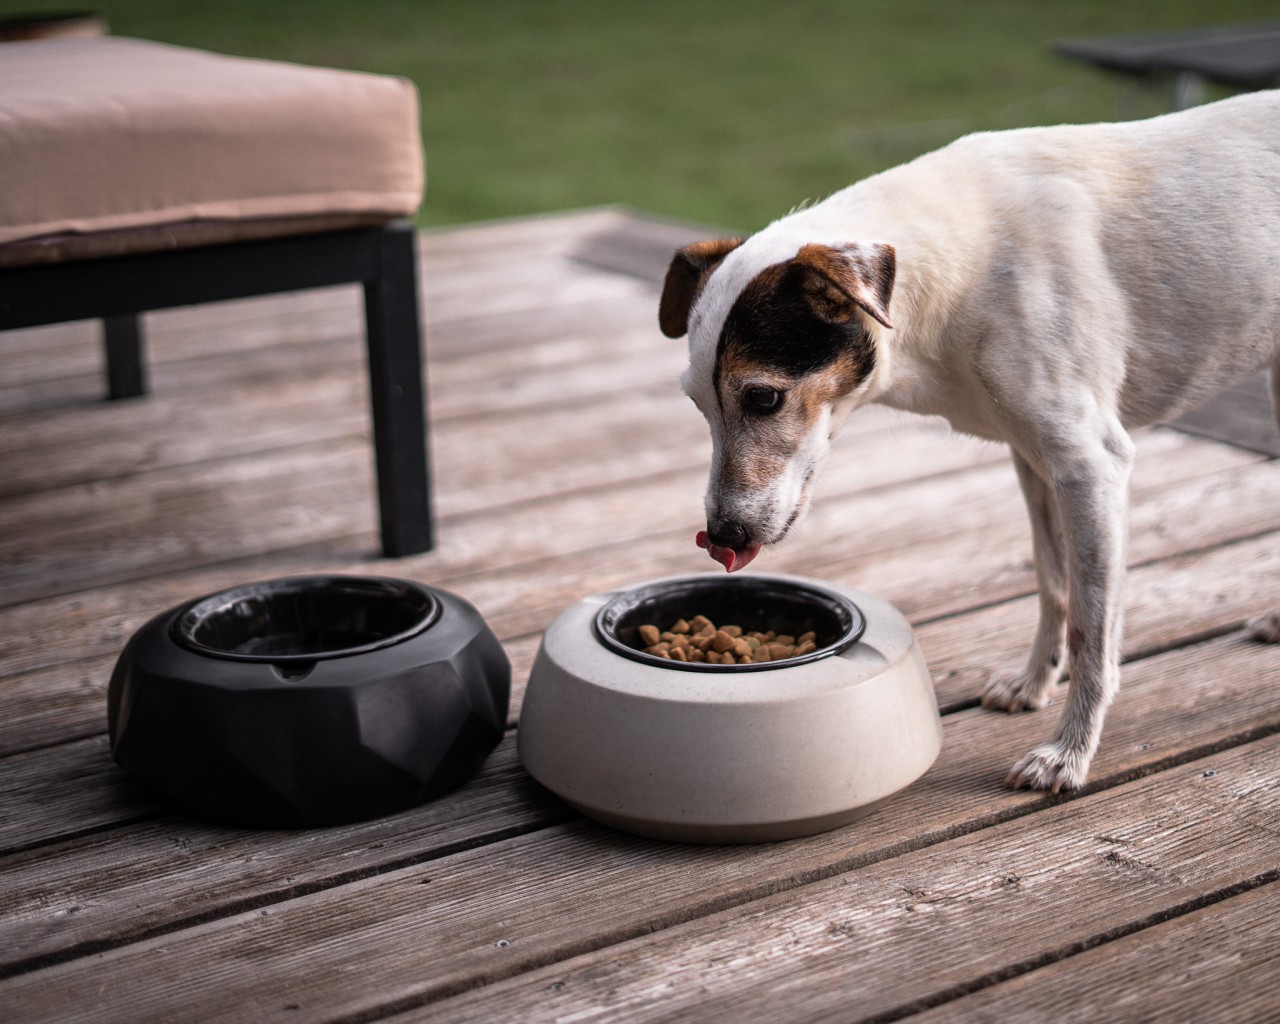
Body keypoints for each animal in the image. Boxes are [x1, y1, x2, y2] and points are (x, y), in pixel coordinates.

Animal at [660, 90, 1280, 793]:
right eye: (697, 403)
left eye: (763, 398)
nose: (723, 537)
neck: (961, 271)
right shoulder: (1033, 457)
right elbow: (1052, 582)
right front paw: (1033, 683)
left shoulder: (1091, 466)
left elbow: (1091, 628)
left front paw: (1069, 754)